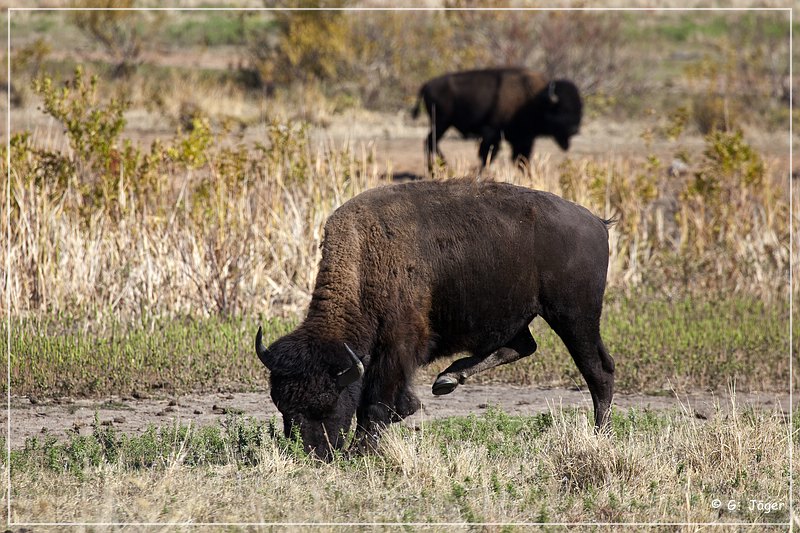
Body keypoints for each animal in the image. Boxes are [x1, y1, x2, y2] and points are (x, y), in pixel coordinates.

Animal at [256, 179, 612, 458]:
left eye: (327, 404)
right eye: (282, 408)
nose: (313, 454)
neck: (367, 258)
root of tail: (595, 222)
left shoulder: (398, 347)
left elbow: (375, 403)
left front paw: (361, 450)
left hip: (574, 316)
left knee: (598, 370)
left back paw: (600, 435)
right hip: (520, 314)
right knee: (522, 346)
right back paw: (448, 378)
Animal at [412, 66, 580, 170]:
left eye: (579, 109)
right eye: (561, 109)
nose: (574, 130)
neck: (534, 98)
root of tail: (427, 84)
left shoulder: (523, 139)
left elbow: (521, 161)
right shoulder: (492, 133)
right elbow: (486, 156)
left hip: (441, 124)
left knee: (429, 142)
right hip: (441, 123)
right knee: (430, 142)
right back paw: (441, 166)